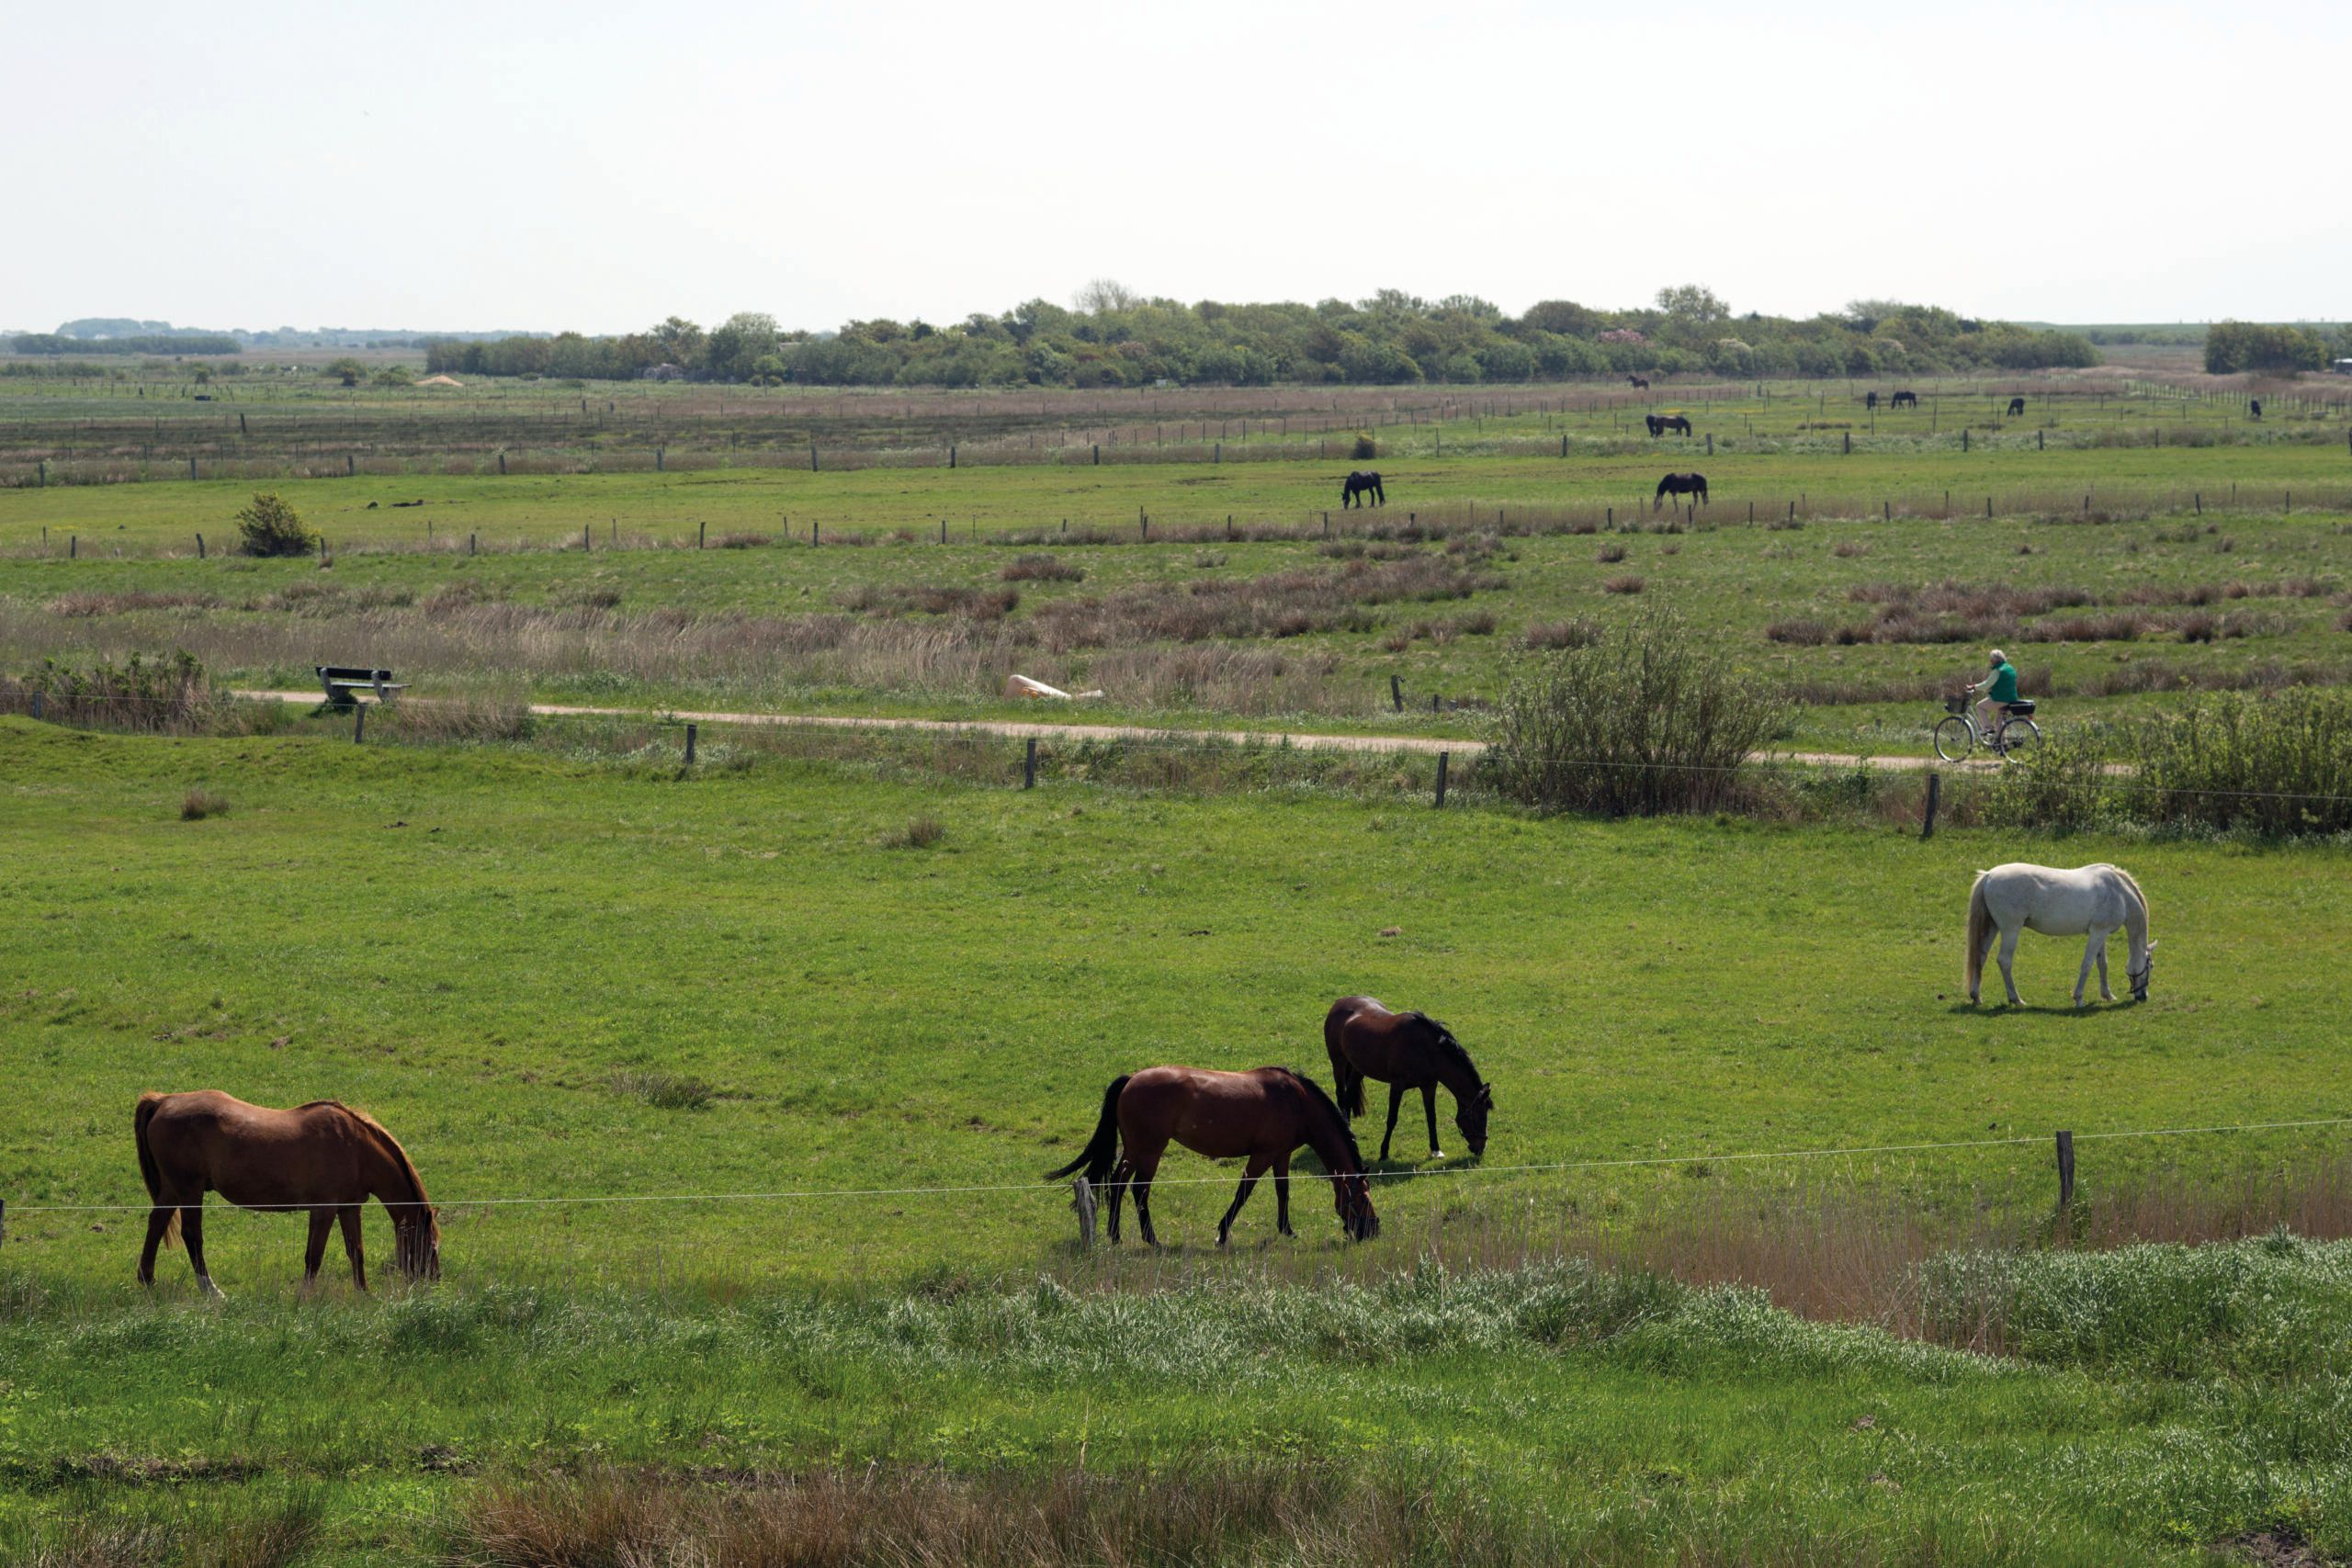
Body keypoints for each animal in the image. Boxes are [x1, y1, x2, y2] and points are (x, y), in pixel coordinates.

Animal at [135, 1091, 440, 1295]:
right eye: (432, 1245)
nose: (435, 1281)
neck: (356, 1148)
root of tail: (164, 1100)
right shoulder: (324, 1210)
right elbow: (314, 1257)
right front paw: (304, 1298)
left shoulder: (349, 1207)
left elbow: (356, 1252)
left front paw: (363, 1295)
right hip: (189, 1190)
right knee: (192, 1236)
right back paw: (212, 1292)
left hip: (173, 1189)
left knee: (156, 1224)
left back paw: (147, 1280)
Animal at [1046, 1067, 1378, 1246]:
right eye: (1363, 1198)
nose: (1374, 1229)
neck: (1296, 1101)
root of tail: (1131, 1080)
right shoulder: (1263, 1155)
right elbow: (1244, 1192)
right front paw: (1222, 1233)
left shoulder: (1280, 1155)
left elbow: (1283, 1191)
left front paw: (1287, 1230)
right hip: (1150, 1151)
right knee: (1140, 1190)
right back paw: (1152, 1239)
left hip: (1133, 1150)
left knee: (1118, 1183)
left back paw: (1115, 1236)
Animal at [1324, 997, 1492, 1162]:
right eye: (1479, 1116)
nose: (1480, 1149)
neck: (1424, 1049)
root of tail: (1339, 1003)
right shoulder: (1397, 1086)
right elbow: (1392, 1119)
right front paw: (1384, 1152)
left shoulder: (1429, 1086)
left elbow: (1431, 1117)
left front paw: (1436, 1150)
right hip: (1339, 1063)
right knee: (1341, 1098)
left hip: (1358, 1069)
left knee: (1349, 1097)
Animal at [1965, 863, 2157, 1008]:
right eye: (2150, 966)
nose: (2143, 996)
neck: (2119, 893)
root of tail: (1989, 875)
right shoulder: (2098, 934)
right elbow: (2087, 965)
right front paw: (2079, 999)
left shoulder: (2100, 933)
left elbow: (2102, 964)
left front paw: (2108, 995)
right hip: (2010, 929)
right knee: (2004, 961)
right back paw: (2016, 999)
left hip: (1993, 927)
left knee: (1980, 957)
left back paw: (1976, 997)